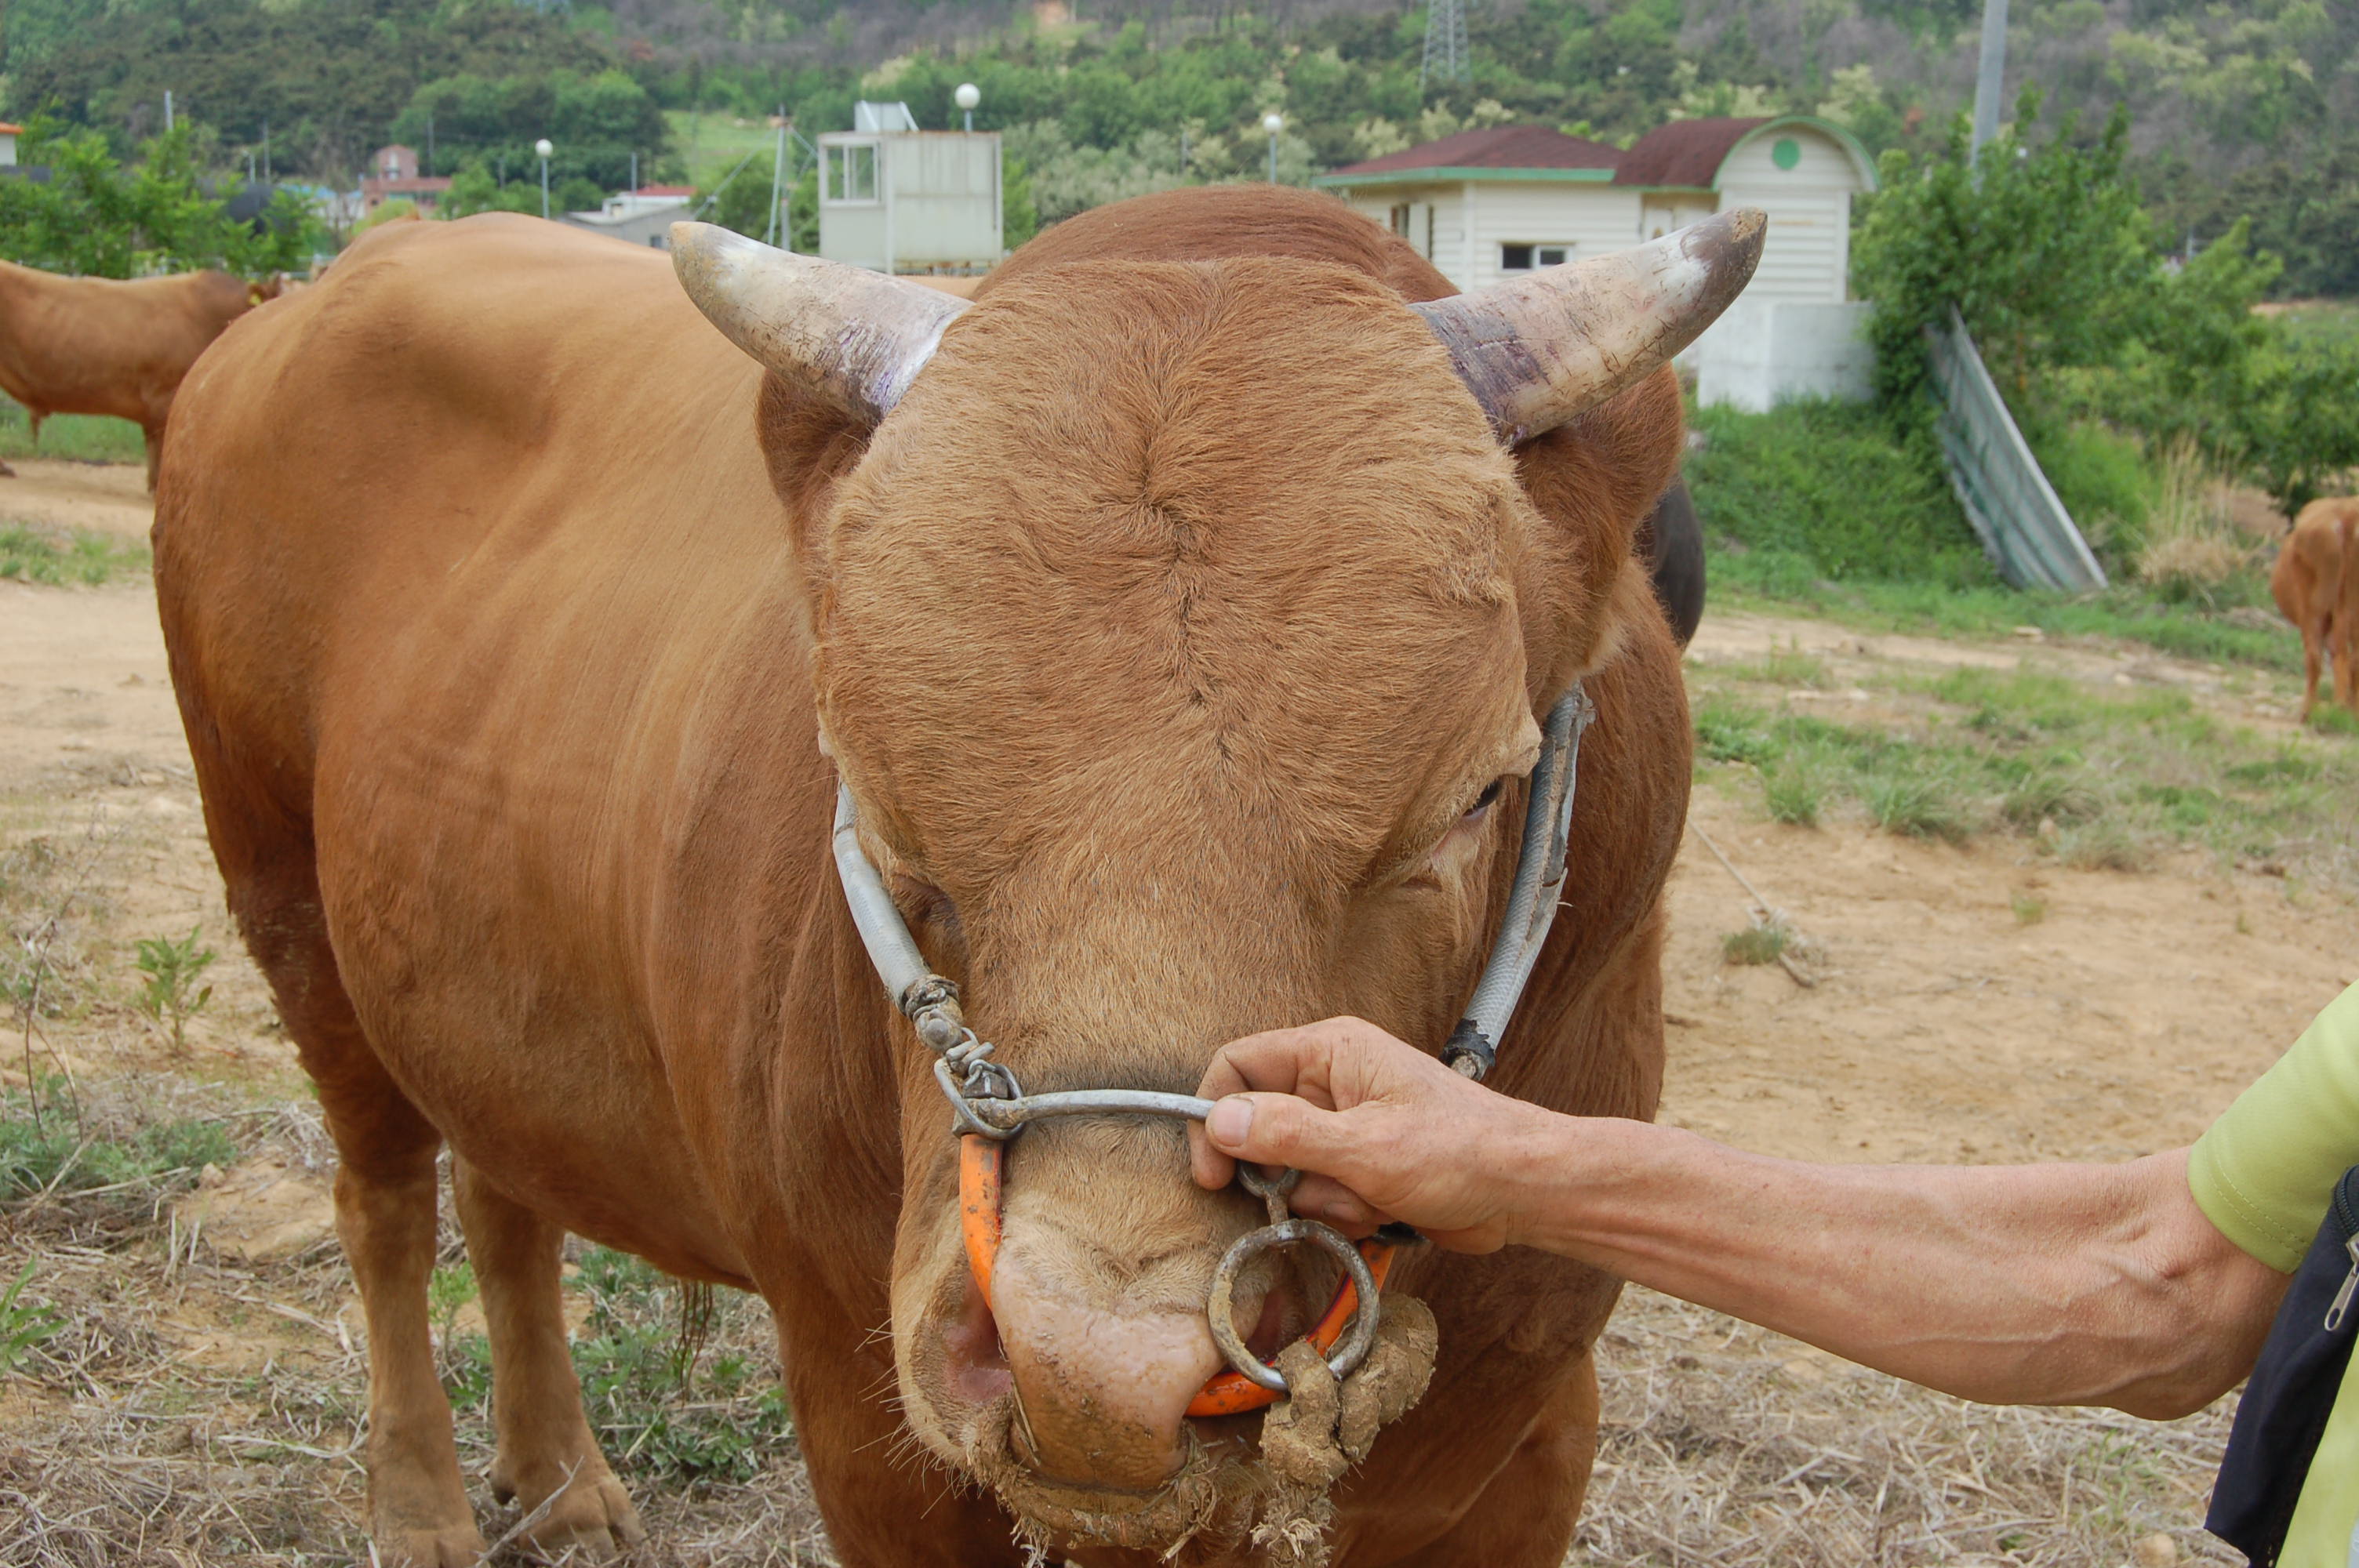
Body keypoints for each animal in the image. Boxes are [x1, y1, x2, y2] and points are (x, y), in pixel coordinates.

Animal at [157, 192, 1764, 1565]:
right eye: (869, 793)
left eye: (1477, 796)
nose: (1097, 1368)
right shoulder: (858, 1414)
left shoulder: (1538, 1432)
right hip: (282, 898)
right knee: (386, 1200)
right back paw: (421, 1498)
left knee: (506, 1187)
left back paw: (559, 1481)